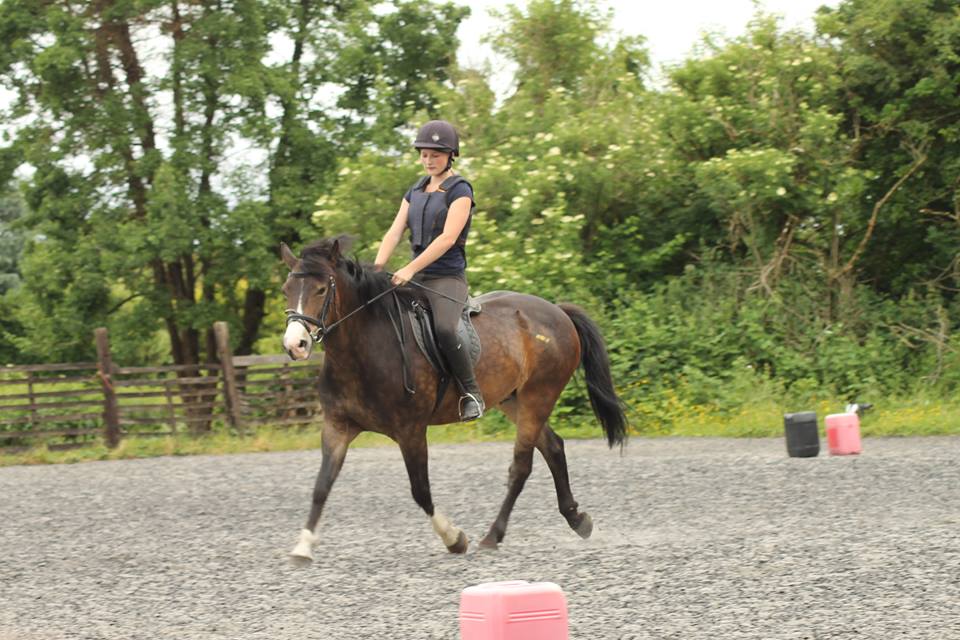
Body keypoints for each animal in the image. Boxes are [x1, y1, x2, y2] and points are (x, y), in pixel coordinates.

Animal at [280, 236, 627, 563]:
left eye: (321, 290)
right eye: (286, 290)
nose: (295, 345)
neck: (364, 349)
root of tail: (558, 312)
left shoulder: (410, 430)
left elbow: (421, 491)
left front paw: (455, 539)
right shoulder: (337, 427)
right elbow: (321, 486)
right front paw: (303, 546)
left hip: (538, 395)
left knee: (521, 465)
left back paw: (493, 535)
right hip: (513, 400)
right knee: (553, 447)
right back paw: (578, 520)